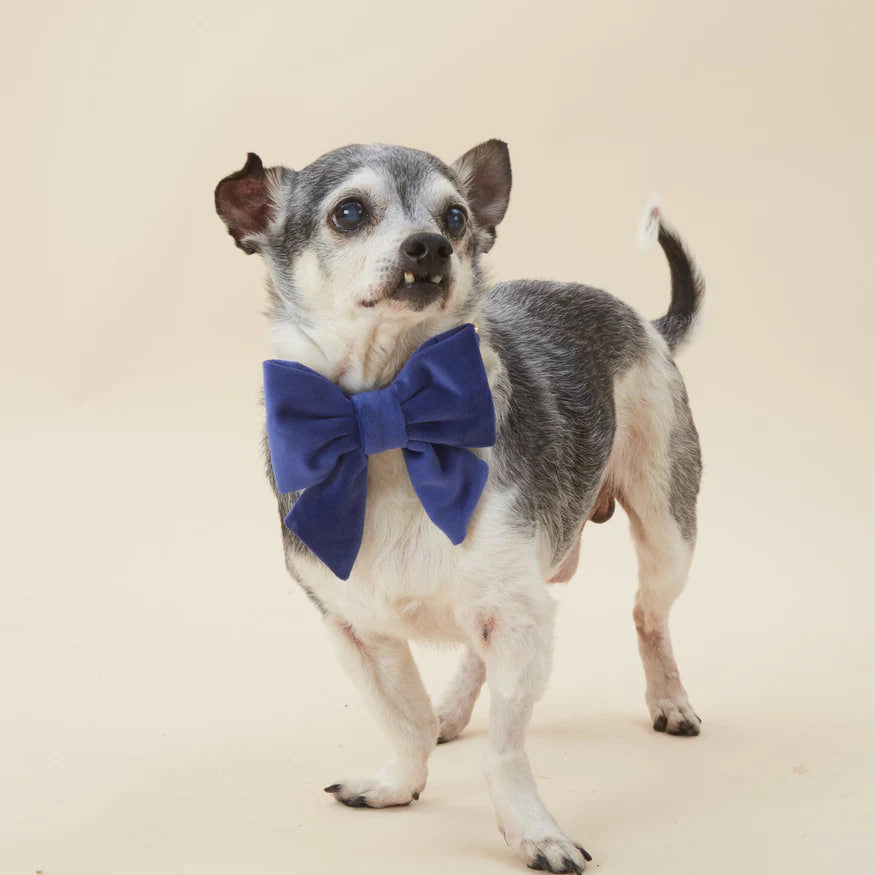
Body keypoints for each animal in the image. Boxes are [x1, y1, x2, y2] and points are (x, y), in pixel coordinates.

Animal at [214, 140, 704, 872]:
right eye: (348, 213)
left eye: (455, 217)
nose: (430, 245)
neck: (386, 413)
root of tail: (645, 324)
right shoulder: (357, 627)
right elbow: (405, 719)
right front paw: (397, 782)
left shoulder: (519, 619)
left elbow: (505, 750)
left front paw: (532, 831)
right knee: (477, 657)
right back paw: (452, 709)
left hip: (667, 531)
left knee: (648, 617)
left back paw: (668, 698)